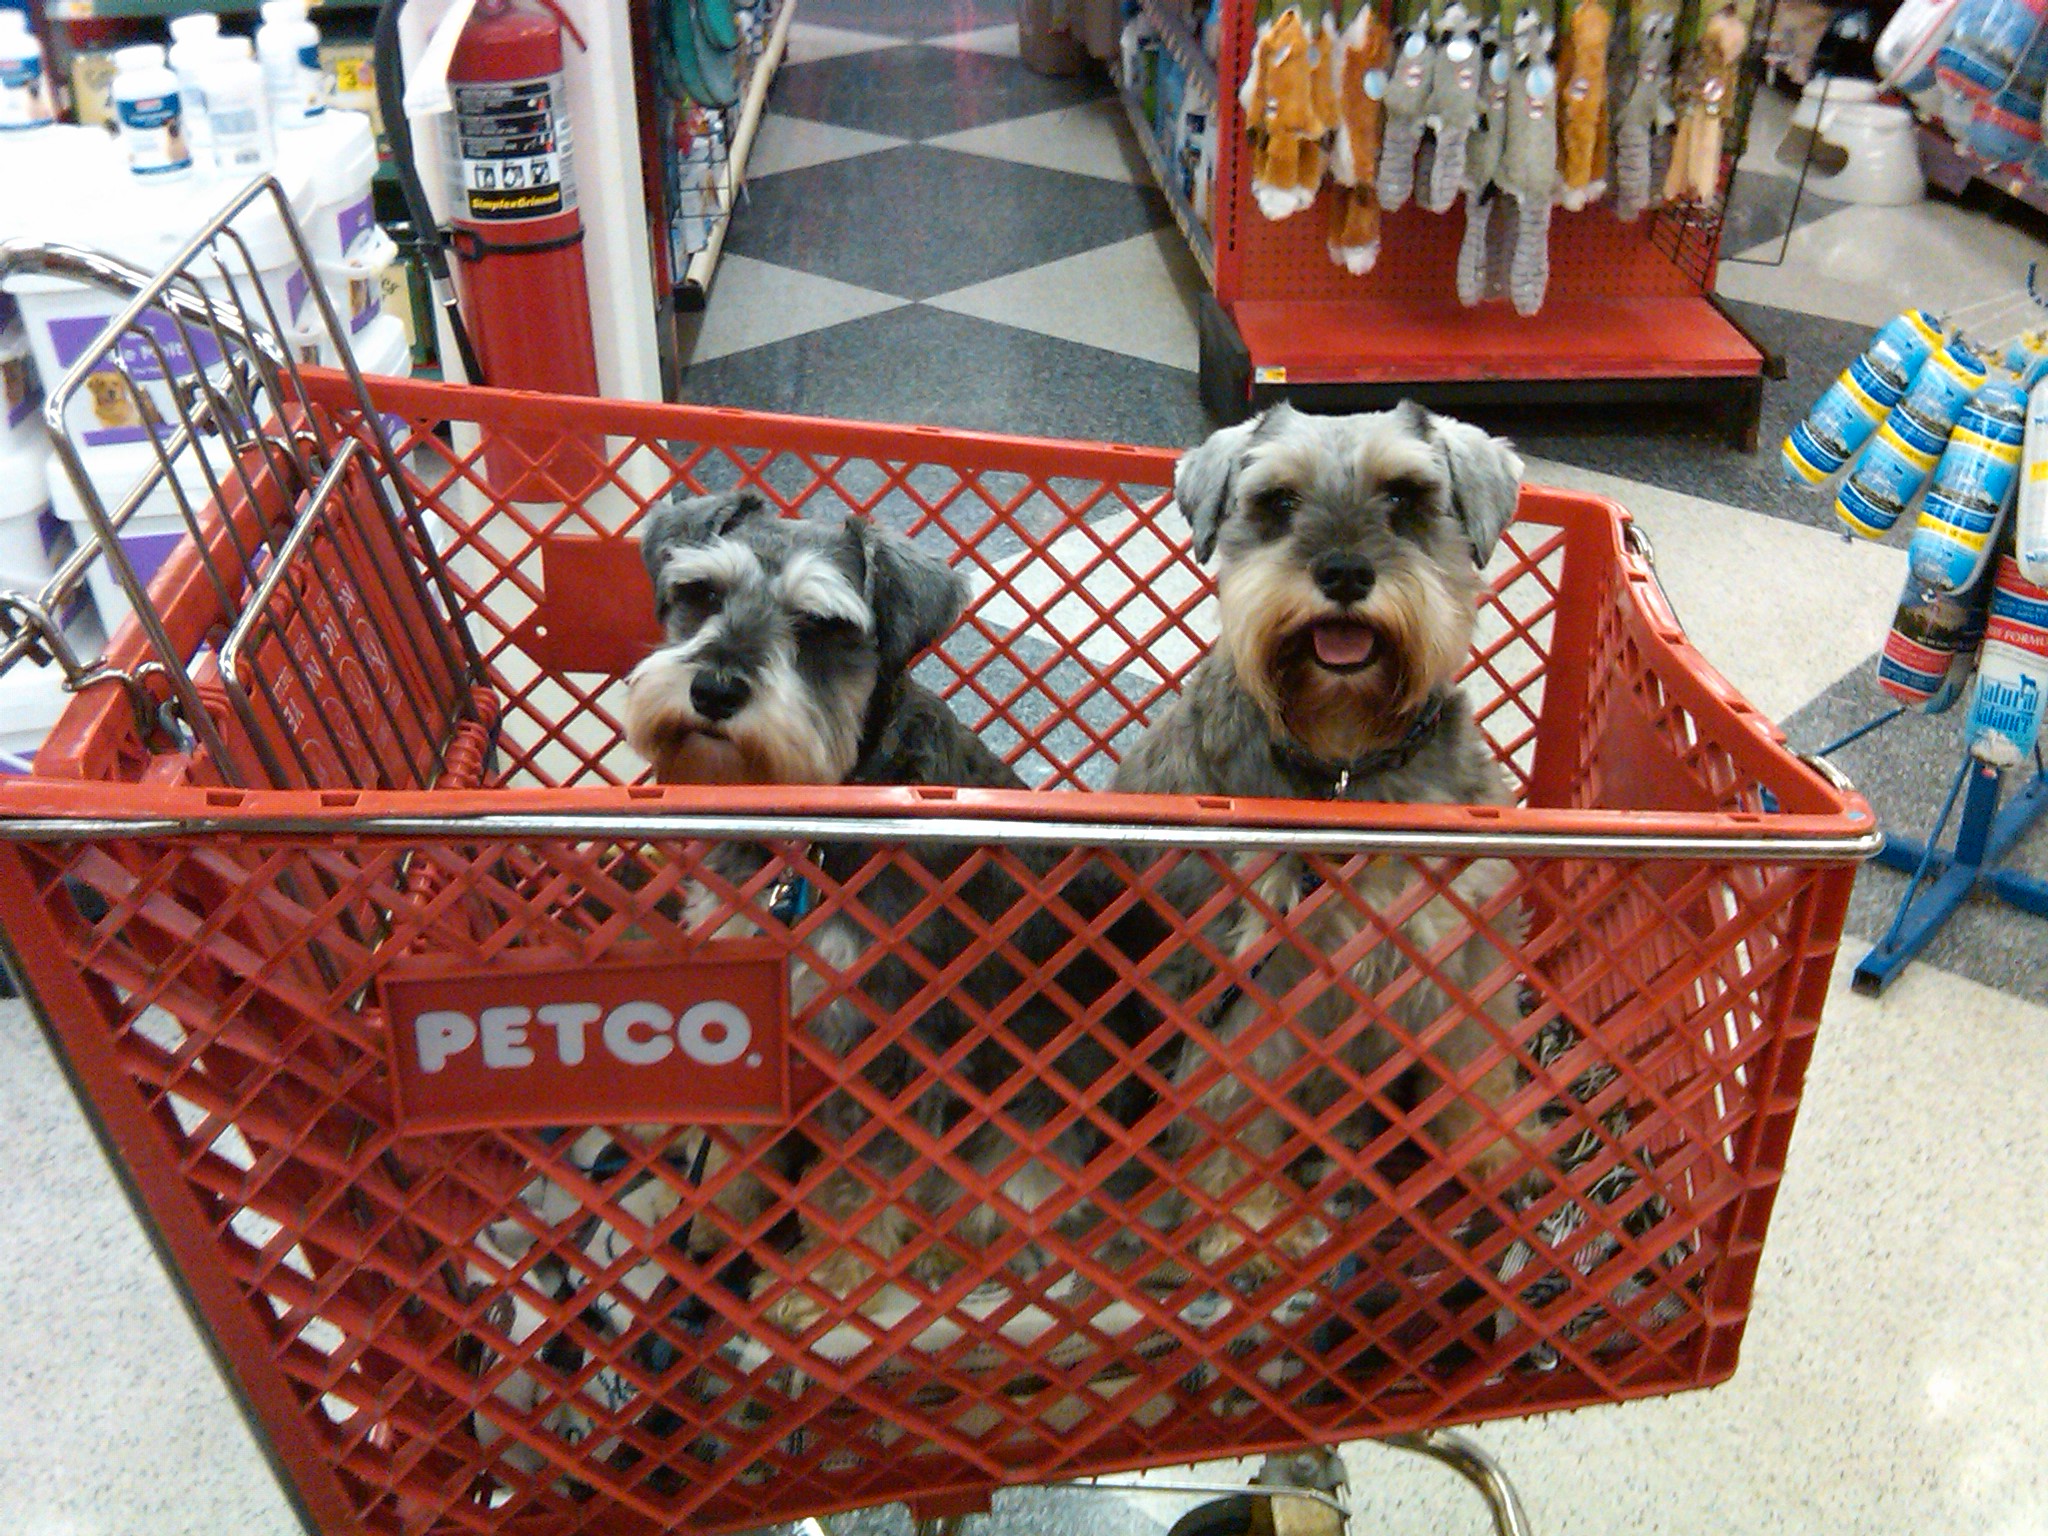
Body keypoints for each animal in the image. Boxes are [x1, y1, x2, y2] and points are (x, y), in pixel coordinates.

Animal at [622, 489, 1105, 1343]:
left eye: (821, 627)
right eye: (700, 594)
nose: (714, 690)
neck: (802, 832)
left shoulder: (885, 1044)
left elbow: (860, 1181)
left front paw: (825, 1288)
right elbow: (743, 1141)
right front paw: (722, 1215)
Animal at [1122, 405, 1540, 1286]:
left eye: (1407, 495)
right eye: (1277, 501)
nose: (1344, 573)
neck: (1348, 760)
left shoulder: (1466, 951)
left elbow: (1476, 1068)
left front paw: (1493, 1159)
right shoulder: (1252, 984)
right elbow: (1235, 1105)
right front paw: (1247, 1226)